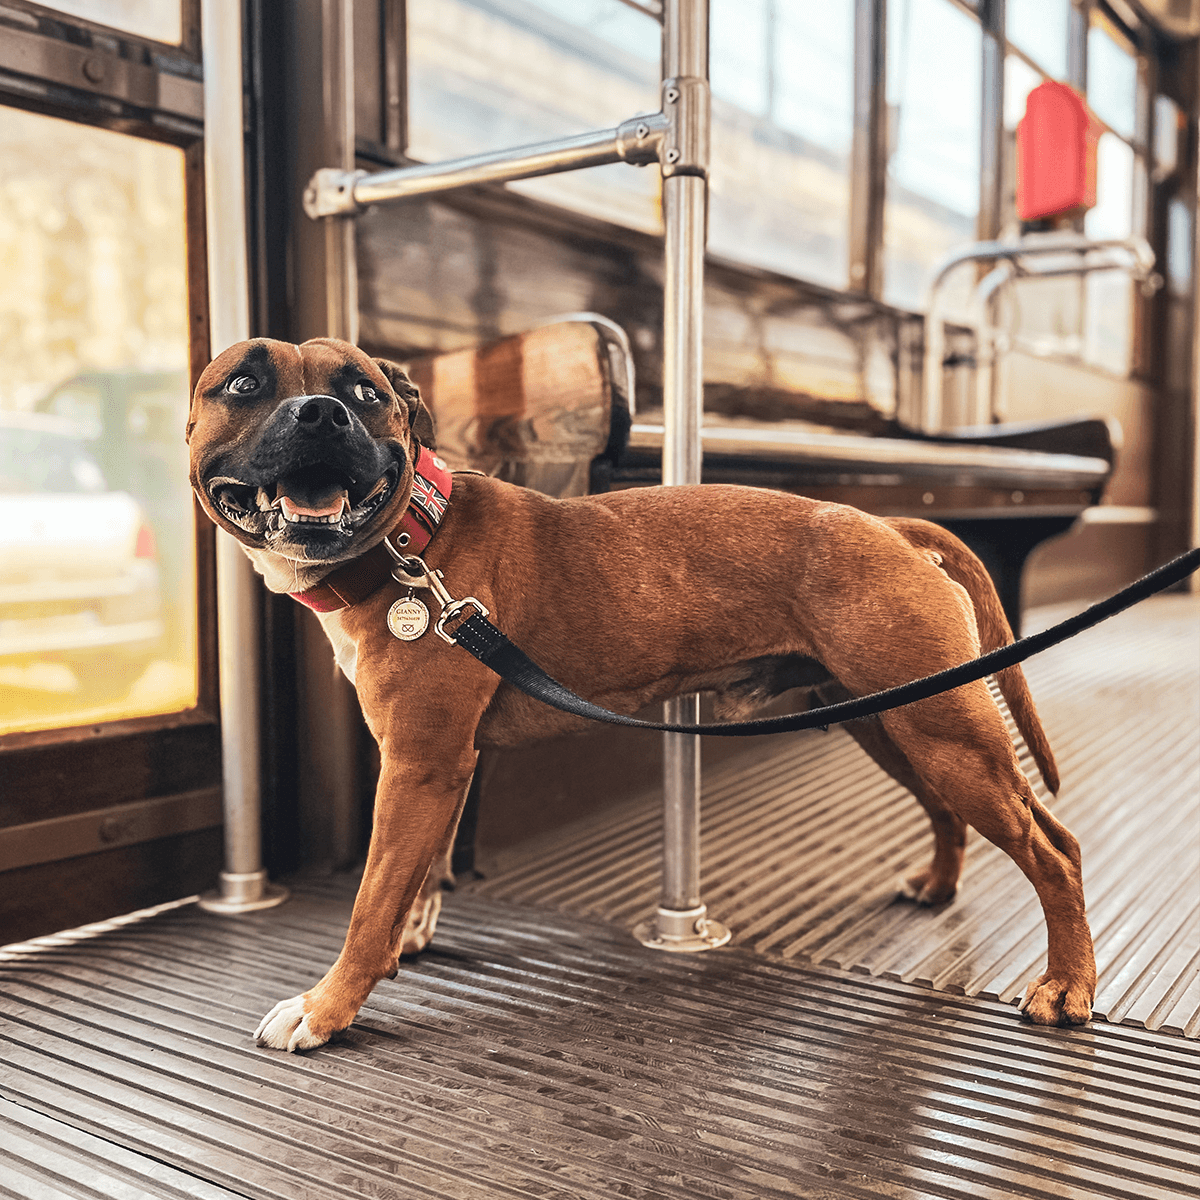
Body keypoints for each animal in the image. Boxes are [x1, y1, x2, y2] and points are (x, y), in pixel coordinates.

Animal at [187, 336, 1099, 1051]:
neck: (412, 541)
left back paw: (1068, 983)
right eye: (243, 383)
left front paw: (327, 1008)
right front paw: (412, 932)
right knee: (955, 815)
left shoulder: (418, 765)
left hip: (948, 734)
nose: (319, 415)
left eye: (366, 392)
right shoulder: (443, 767)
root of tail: (887, 525)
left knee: (1054, 847)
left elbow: (370, 902)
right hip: (898, 724)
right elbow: (419, 873)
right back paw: (939, 885)